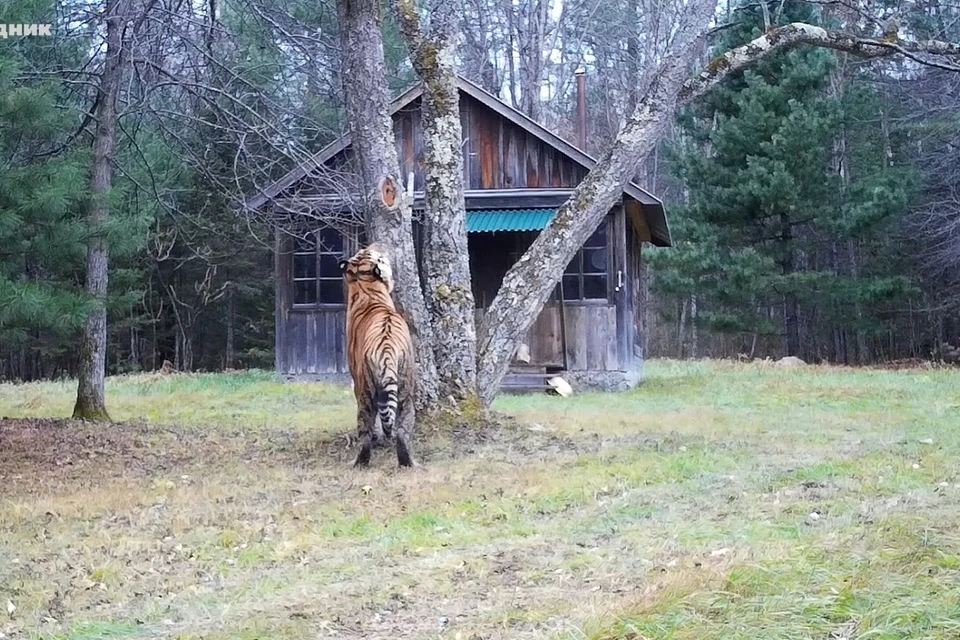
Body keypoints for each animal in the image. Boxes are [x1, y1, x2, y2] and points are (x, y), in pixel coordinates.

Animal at [340, 242, 418, 468]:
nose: (378, 245)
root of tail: (386, 351)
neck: (365, 287)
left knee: (373, 432)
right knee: (396, 432)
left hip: (373, 392)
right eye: (377, 256)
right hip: (403, 393)